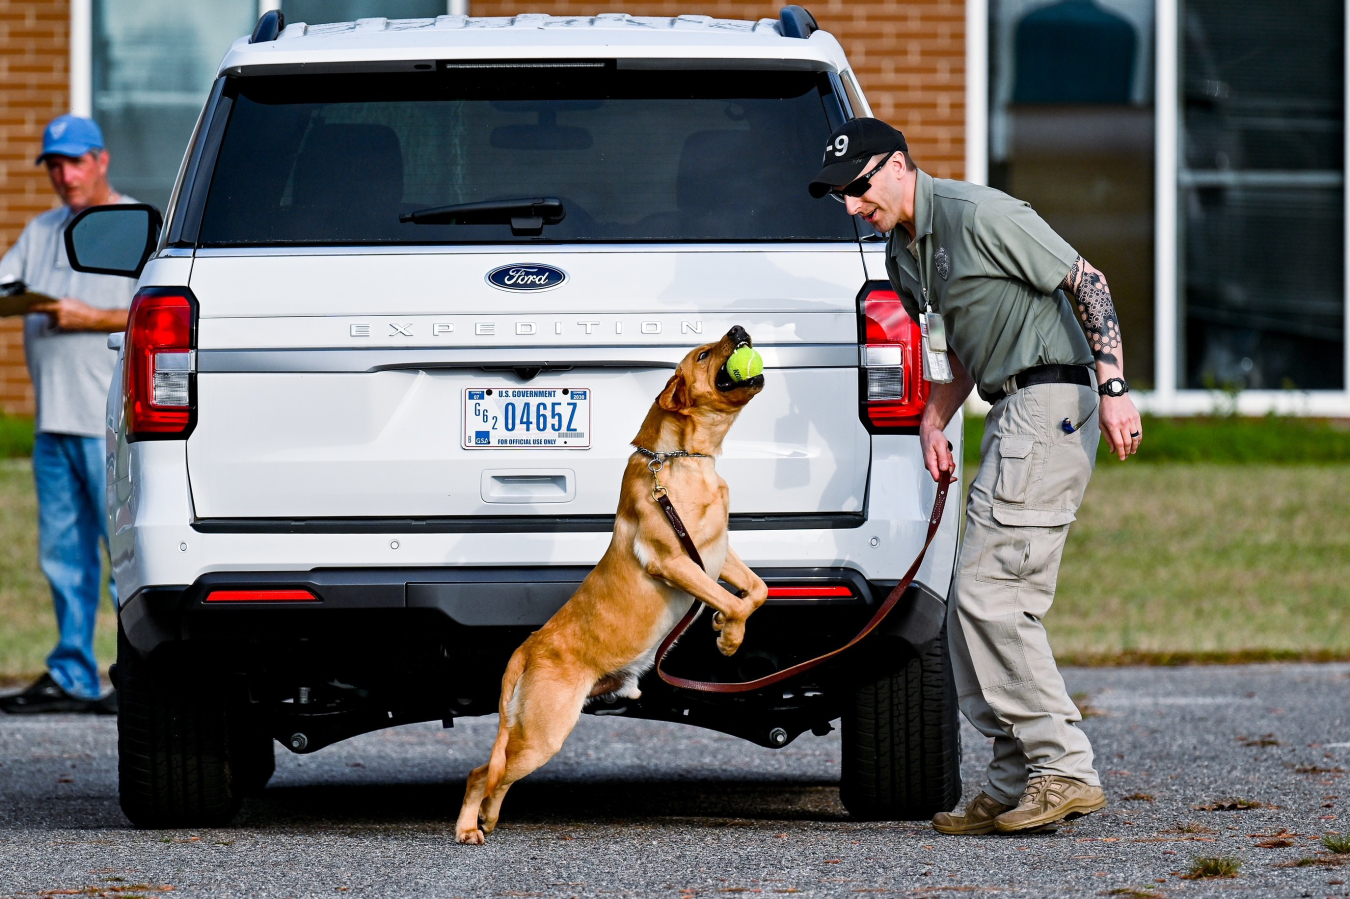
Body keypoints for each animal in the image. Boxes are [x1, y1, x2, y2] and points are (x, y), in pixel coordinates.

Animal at [456, 323, 766, 842]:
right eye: (704, 354)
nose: (740, 329)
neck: (680, 459)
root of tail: (528, 648)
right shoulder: (674, 562)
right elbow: (737, 601)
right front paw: (728, 637)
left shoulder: (718, 554)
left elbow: (756, 592)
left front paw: (726, 627)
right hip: (544, 733)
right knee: (486, 774)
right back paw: (473, 825)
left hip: (533, 731)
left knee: (488, 772)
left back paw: (483, 821)